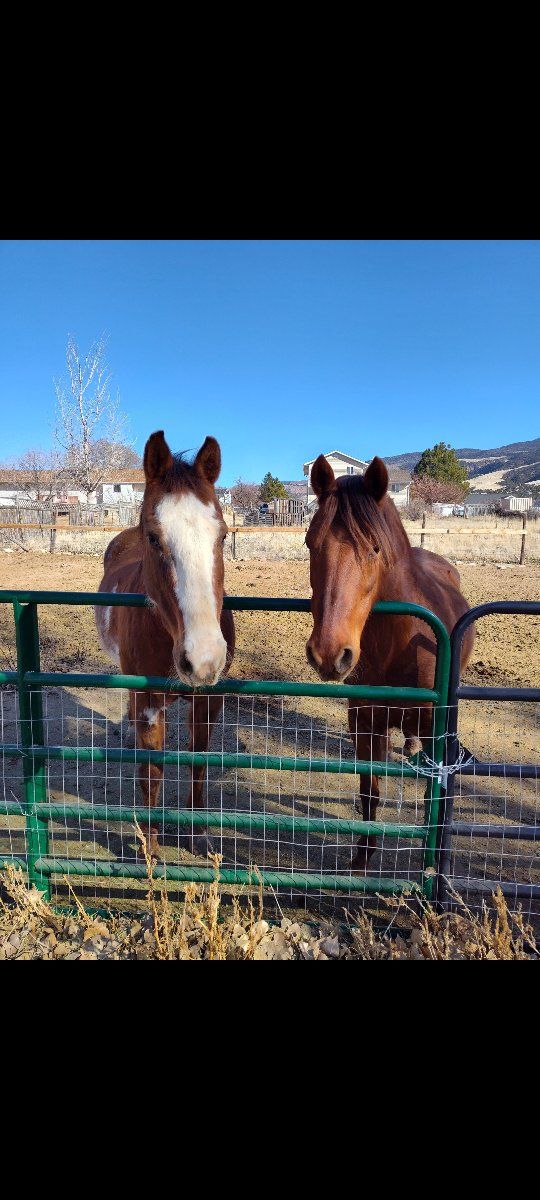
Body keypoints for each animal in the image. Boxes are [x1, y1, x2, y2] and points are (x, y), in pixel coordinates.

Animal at [95, 430, 235, 858]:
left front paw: (198, 835)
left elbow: (198, 764)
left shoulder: (209, 701)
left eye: (223, 535)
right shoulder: (150, 702)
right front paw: (151, 848)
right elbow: (152, 770)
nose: (203, 659)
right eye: (155, 538)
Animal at [305, 454, 474, 869]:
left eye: (375, 549)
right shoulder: (365, 722)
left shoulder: (433, 725)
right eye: (310, 543)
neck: (397, 644)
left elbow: (433, 793)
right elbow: (370, 791)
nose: (329, 652)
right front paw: (362, 858)